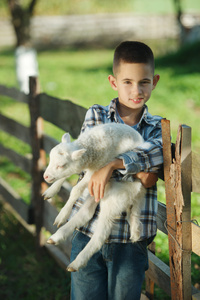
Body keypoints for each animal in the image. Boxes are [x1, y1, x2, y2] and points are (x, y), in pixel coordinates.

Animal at [43, 123, 146, 274]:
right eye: (50, 160)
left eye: (61, 165)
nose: (45, 176)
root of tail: (138, 194)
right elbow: (66, 176)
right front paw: (51, 191)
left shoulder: (97, 172)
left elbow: (75, 190)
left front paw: (62, 214)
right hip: (100, 193)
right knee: (86, 214)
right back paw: (57, 237)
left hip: (115, 198)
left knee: (100, 234)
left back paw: (77, 262)